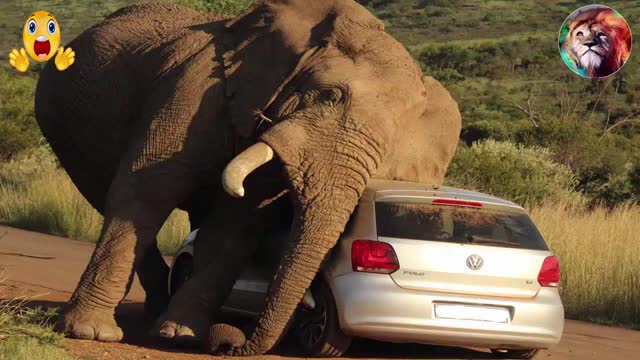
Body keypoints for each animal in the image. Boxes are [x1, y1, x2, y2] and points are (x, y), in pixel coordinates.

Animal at [35, 0, 460, 354]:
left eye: (392, 142)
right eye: (329, 96)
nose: (228, 343)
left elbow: (236, 223)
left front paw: (181, 334)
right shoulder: (195, 90)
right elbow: (146, 191)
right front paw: (89, 333)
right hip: (61, 121)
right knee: (106, 193)